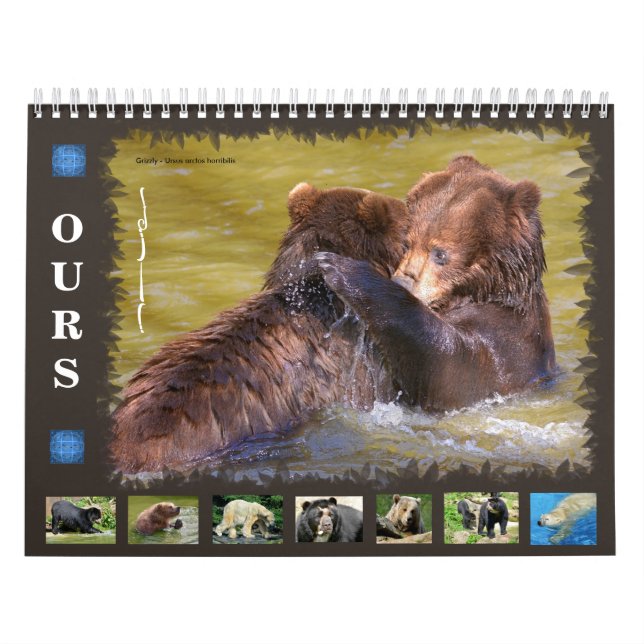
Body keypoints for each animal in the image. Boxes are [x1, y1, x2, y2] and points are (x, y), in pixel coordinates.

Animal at [315, 156, 556, 411]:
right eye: (407, 243)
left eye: (440, 253)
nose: (404, 281)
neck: (486, 290)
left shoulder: (505, 342)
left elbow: (446, 364)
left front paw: (340, 267)